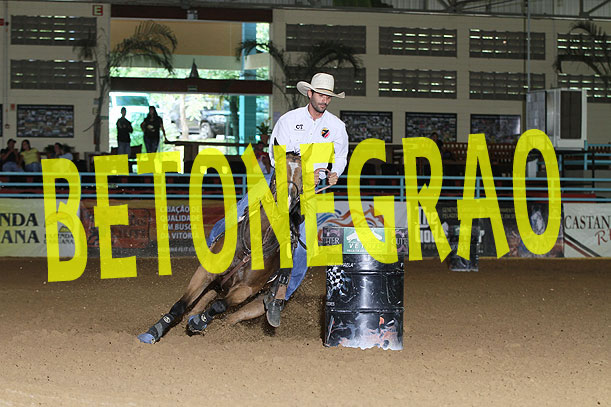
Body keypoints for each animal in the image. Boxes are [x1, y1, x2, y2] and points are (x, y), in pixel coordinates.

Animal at [138, 153, 304, 344]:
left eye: (302, 176)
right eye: (280, 169)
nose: (287, 201)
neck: (252, 243)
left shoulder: (245, 290)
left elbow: (219, 305)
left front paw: (199, 322)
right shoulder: (205, 272)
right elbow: (180, 306)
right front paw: (154, 331)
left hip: (261, 299)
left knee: (232, 317)